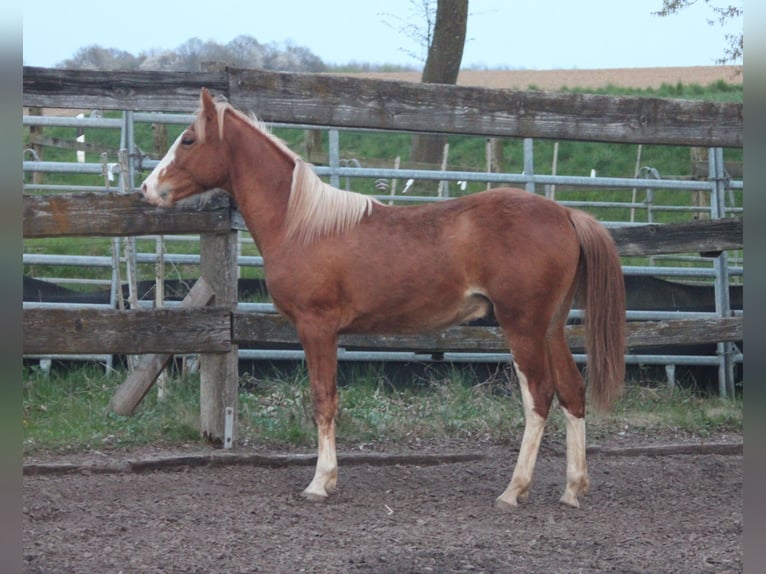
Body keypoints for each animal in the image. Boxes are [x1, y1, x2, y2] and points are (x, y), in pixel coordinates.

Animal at [141, 87, 626, 509]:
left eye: (188, 139)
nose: (147, 189)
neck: (301, 223)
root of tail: (565, 214)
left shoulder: (316, 327)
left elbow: (323, 399)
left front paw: (320, 482)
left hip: (522, 326)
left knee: (539, 396)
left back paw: (514, 491)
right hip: (550, 327)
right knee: (572, 391)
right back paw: (572, 489)